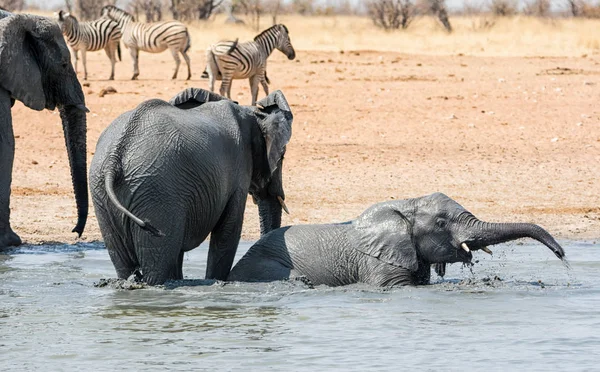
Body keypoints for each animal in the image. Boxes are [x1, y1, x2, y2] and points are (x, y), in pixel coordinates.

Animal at [89, 88, 292, 284]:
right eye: (281, 157)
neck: (253, 113)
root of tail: (116, 156)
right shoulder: (239, 169)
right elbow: (228, 231)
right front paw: (215, 280)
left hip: (103, 193)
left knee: (122, 262)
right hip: (155, 192)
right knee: (156, 267)